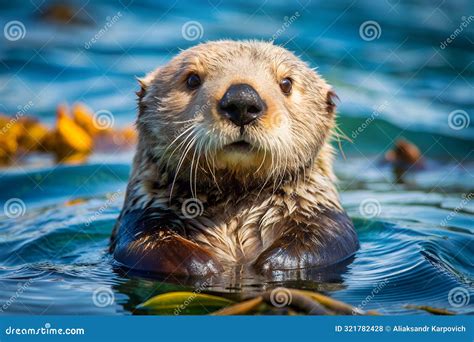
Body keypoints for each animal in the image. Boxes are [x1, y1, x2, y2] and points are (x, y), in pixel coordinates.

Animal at [109, 40, 358, 276]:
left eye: (286, 83)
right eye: (192, 79)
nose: (242, 100)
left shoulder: (319, 212)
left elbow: (325, 241)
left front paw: (274, 262)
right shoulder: (145, 214)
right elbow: (150, 244)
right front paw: (204, 265)